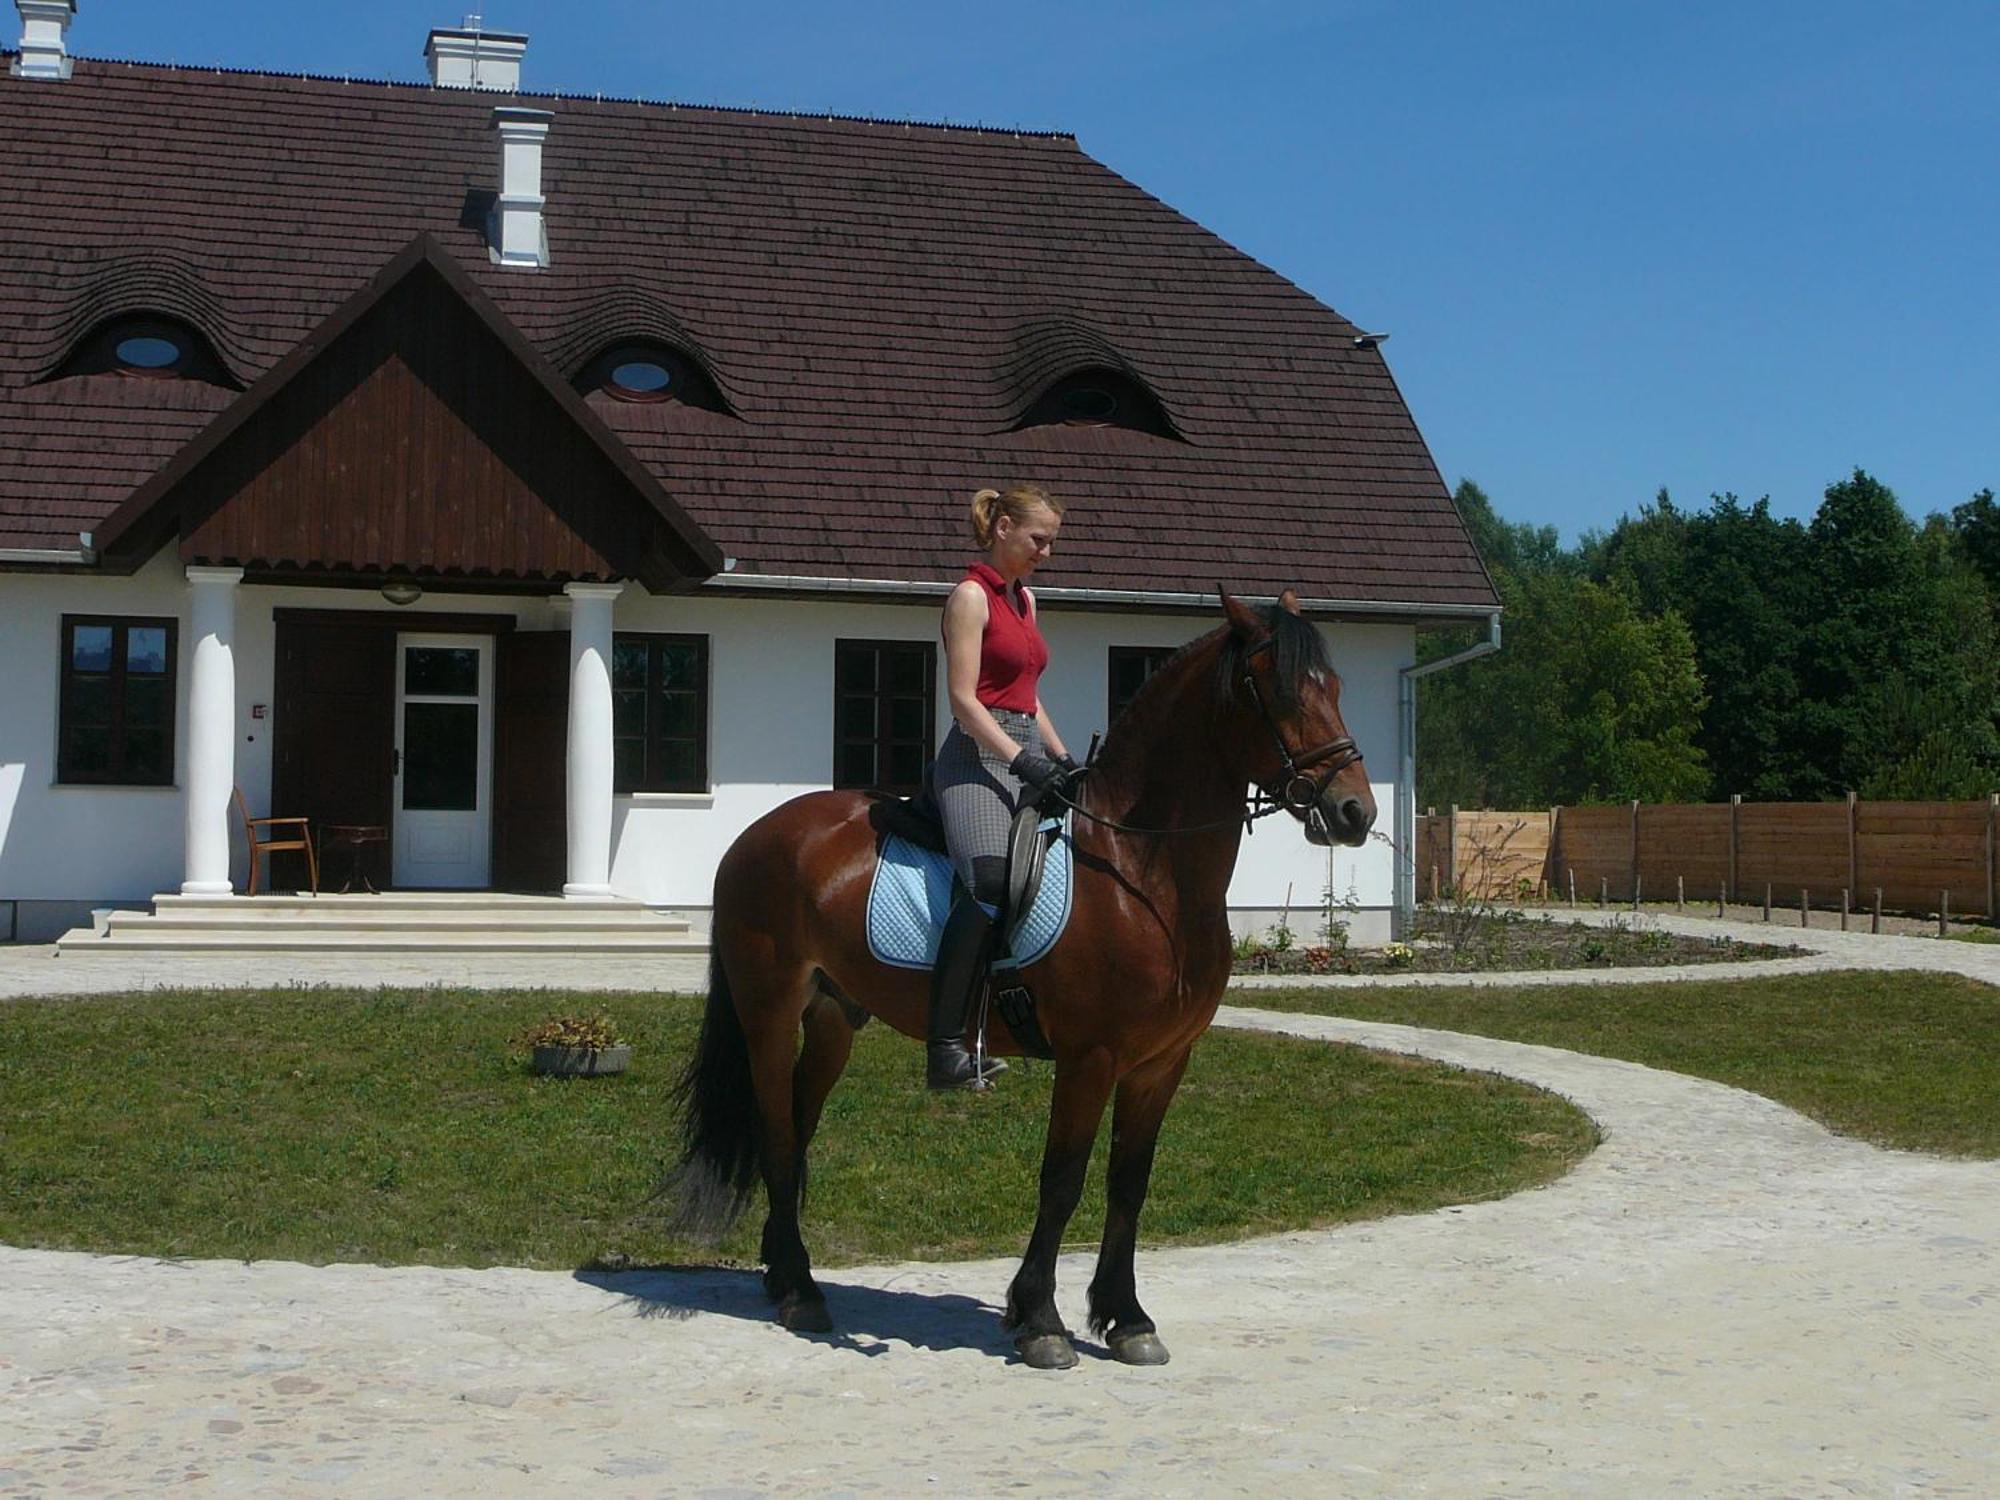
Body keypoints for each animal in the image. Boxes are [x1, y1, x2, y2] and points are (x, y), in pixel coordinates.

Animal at [668, 592, 1376, 1376]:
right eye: (1278, 693)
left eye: (1336, 688)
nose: (1356, 813)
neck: (1142, 868)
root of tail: (755, 835)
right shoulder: (1090, 1059)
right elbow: (1062, 1181)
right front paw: (1040, 1322)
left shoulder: (1161, 1063)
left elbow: (1130, 1183)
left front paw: (1127, 1319)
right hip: (767, 1013)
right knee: (776, 1133)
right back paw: (799, 1292)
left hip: (830, 1020)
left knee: (796, 1130)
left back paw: (784, 1275)